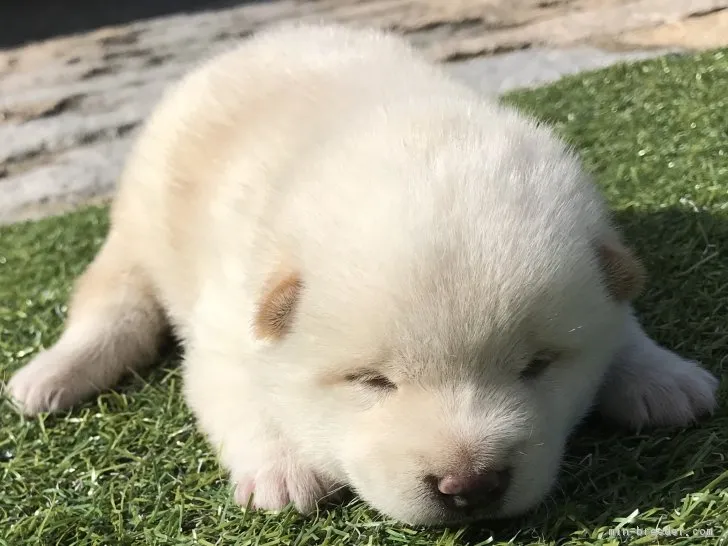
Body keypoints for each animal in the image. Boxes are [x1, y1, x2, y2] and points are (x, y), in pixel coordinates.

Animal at [5, 22, 720, 524]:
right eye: (372, 381)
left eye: (537, 366)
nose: (470, 485)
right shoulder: (229, 319)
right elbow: (237, 392)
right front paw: (284, 469)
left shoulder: (604, 263)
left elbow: (621, 315)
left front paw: (662, 376)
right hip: (138, 225)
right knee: (112, 307)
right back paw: (46, 379)